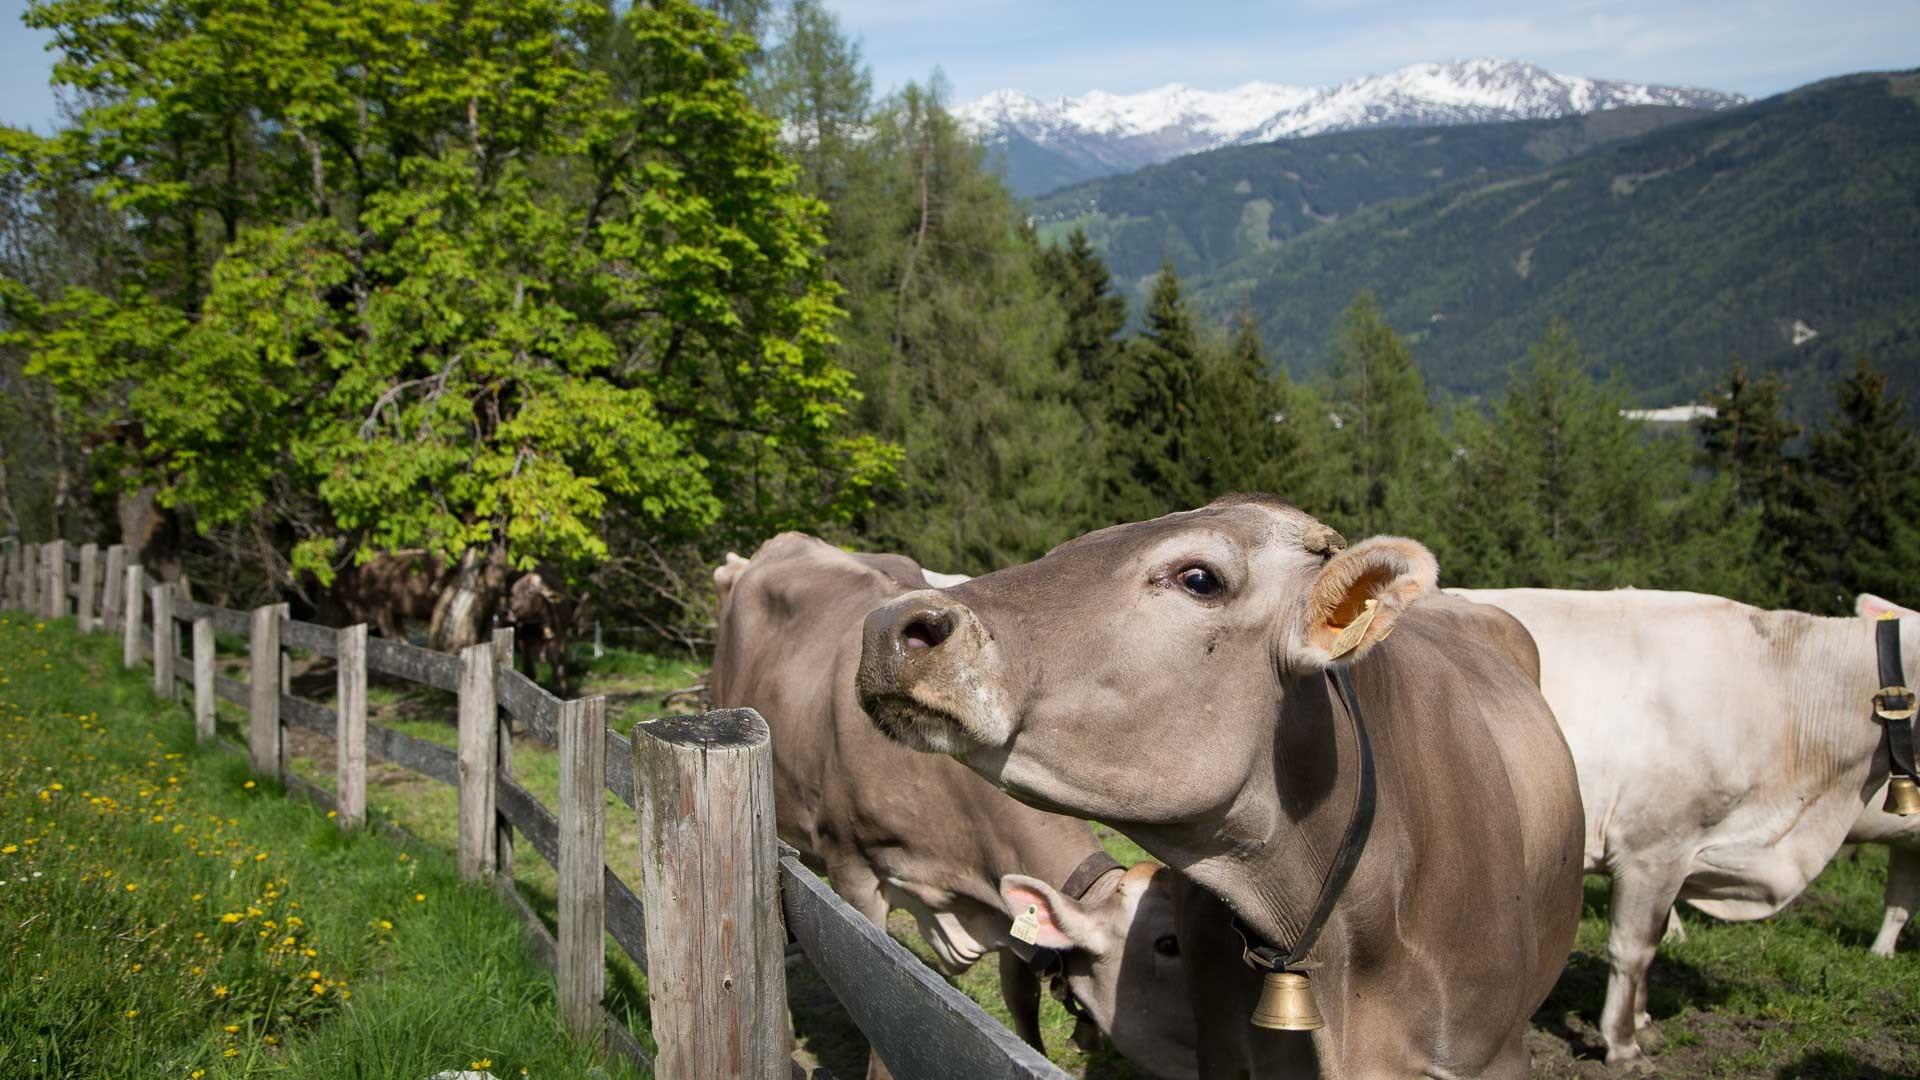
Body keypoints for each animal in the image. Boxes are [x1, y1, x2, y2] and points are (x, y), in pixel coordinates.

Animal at [506, 566, 588, 696]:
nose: (511, 612)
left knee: (562, 659)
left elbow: (555, 659)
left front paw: (558, 688)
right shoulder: (524, 644)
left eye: (531, 592)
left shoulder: (556, 639)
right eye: (513, 592)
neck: (536, 628)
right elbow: (529, 669)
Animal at [1448, 586, 1918, 1063]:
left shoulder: (1682, 852)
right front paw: (1623, 1045)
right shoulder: (1651, 849)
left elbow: (1654, 942)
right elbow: (1633, 948)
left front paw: (1643, 1021)